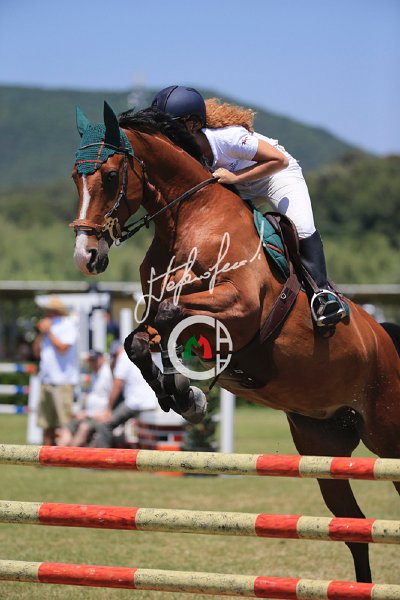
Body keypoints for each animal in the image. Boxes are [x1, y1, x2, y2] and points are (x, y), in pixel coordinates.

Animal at [71, 101, 400, 583]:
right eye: (74, 177)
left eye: (110, 176)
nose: (86, 257)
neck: (189, 217)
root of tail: (386, 340)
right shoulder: (160, 312)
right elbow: (139, 341)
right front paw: (183, 397)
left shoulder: (240, 308)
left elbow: (171, 315)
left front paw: (187, 392)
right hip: (323, 447)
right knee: (353, 527)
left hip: (387, 431)